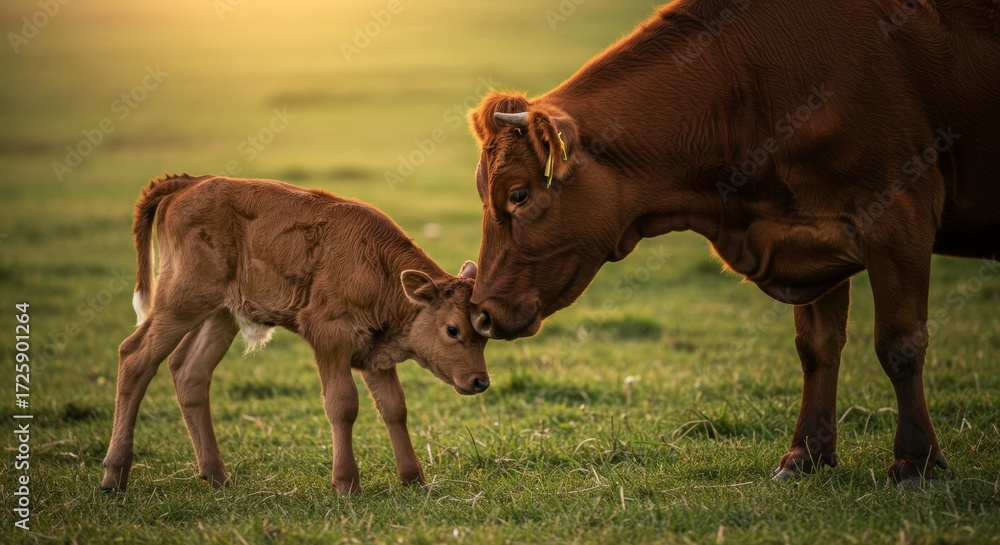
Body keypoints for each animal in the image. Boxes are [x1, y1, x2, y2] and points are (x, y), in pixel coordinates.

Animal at [101, 174, 489, 496]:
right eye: (452, 329)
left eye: (484, 333)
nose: (480, 381)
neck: (377, 268)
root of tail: (190, 182)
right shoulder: (329, 338)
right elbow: (342, 405)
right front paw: (347, 483)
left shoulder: (375, 354)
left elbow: (395, 408)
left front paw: (414, 479)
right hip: (181, 301)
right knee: (135, 357)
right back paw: (114, 475)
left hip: (220, 315)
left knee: (189, 371)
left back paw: (216, 476)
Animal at [467, 0, 1000, 484]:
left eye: (518, 194)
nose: (481, 312)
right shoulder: (814, 236)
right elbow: (818, 348)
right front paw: (806, 454)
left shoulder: (898, 215)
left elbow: (899, 345)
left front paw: (916, 461)